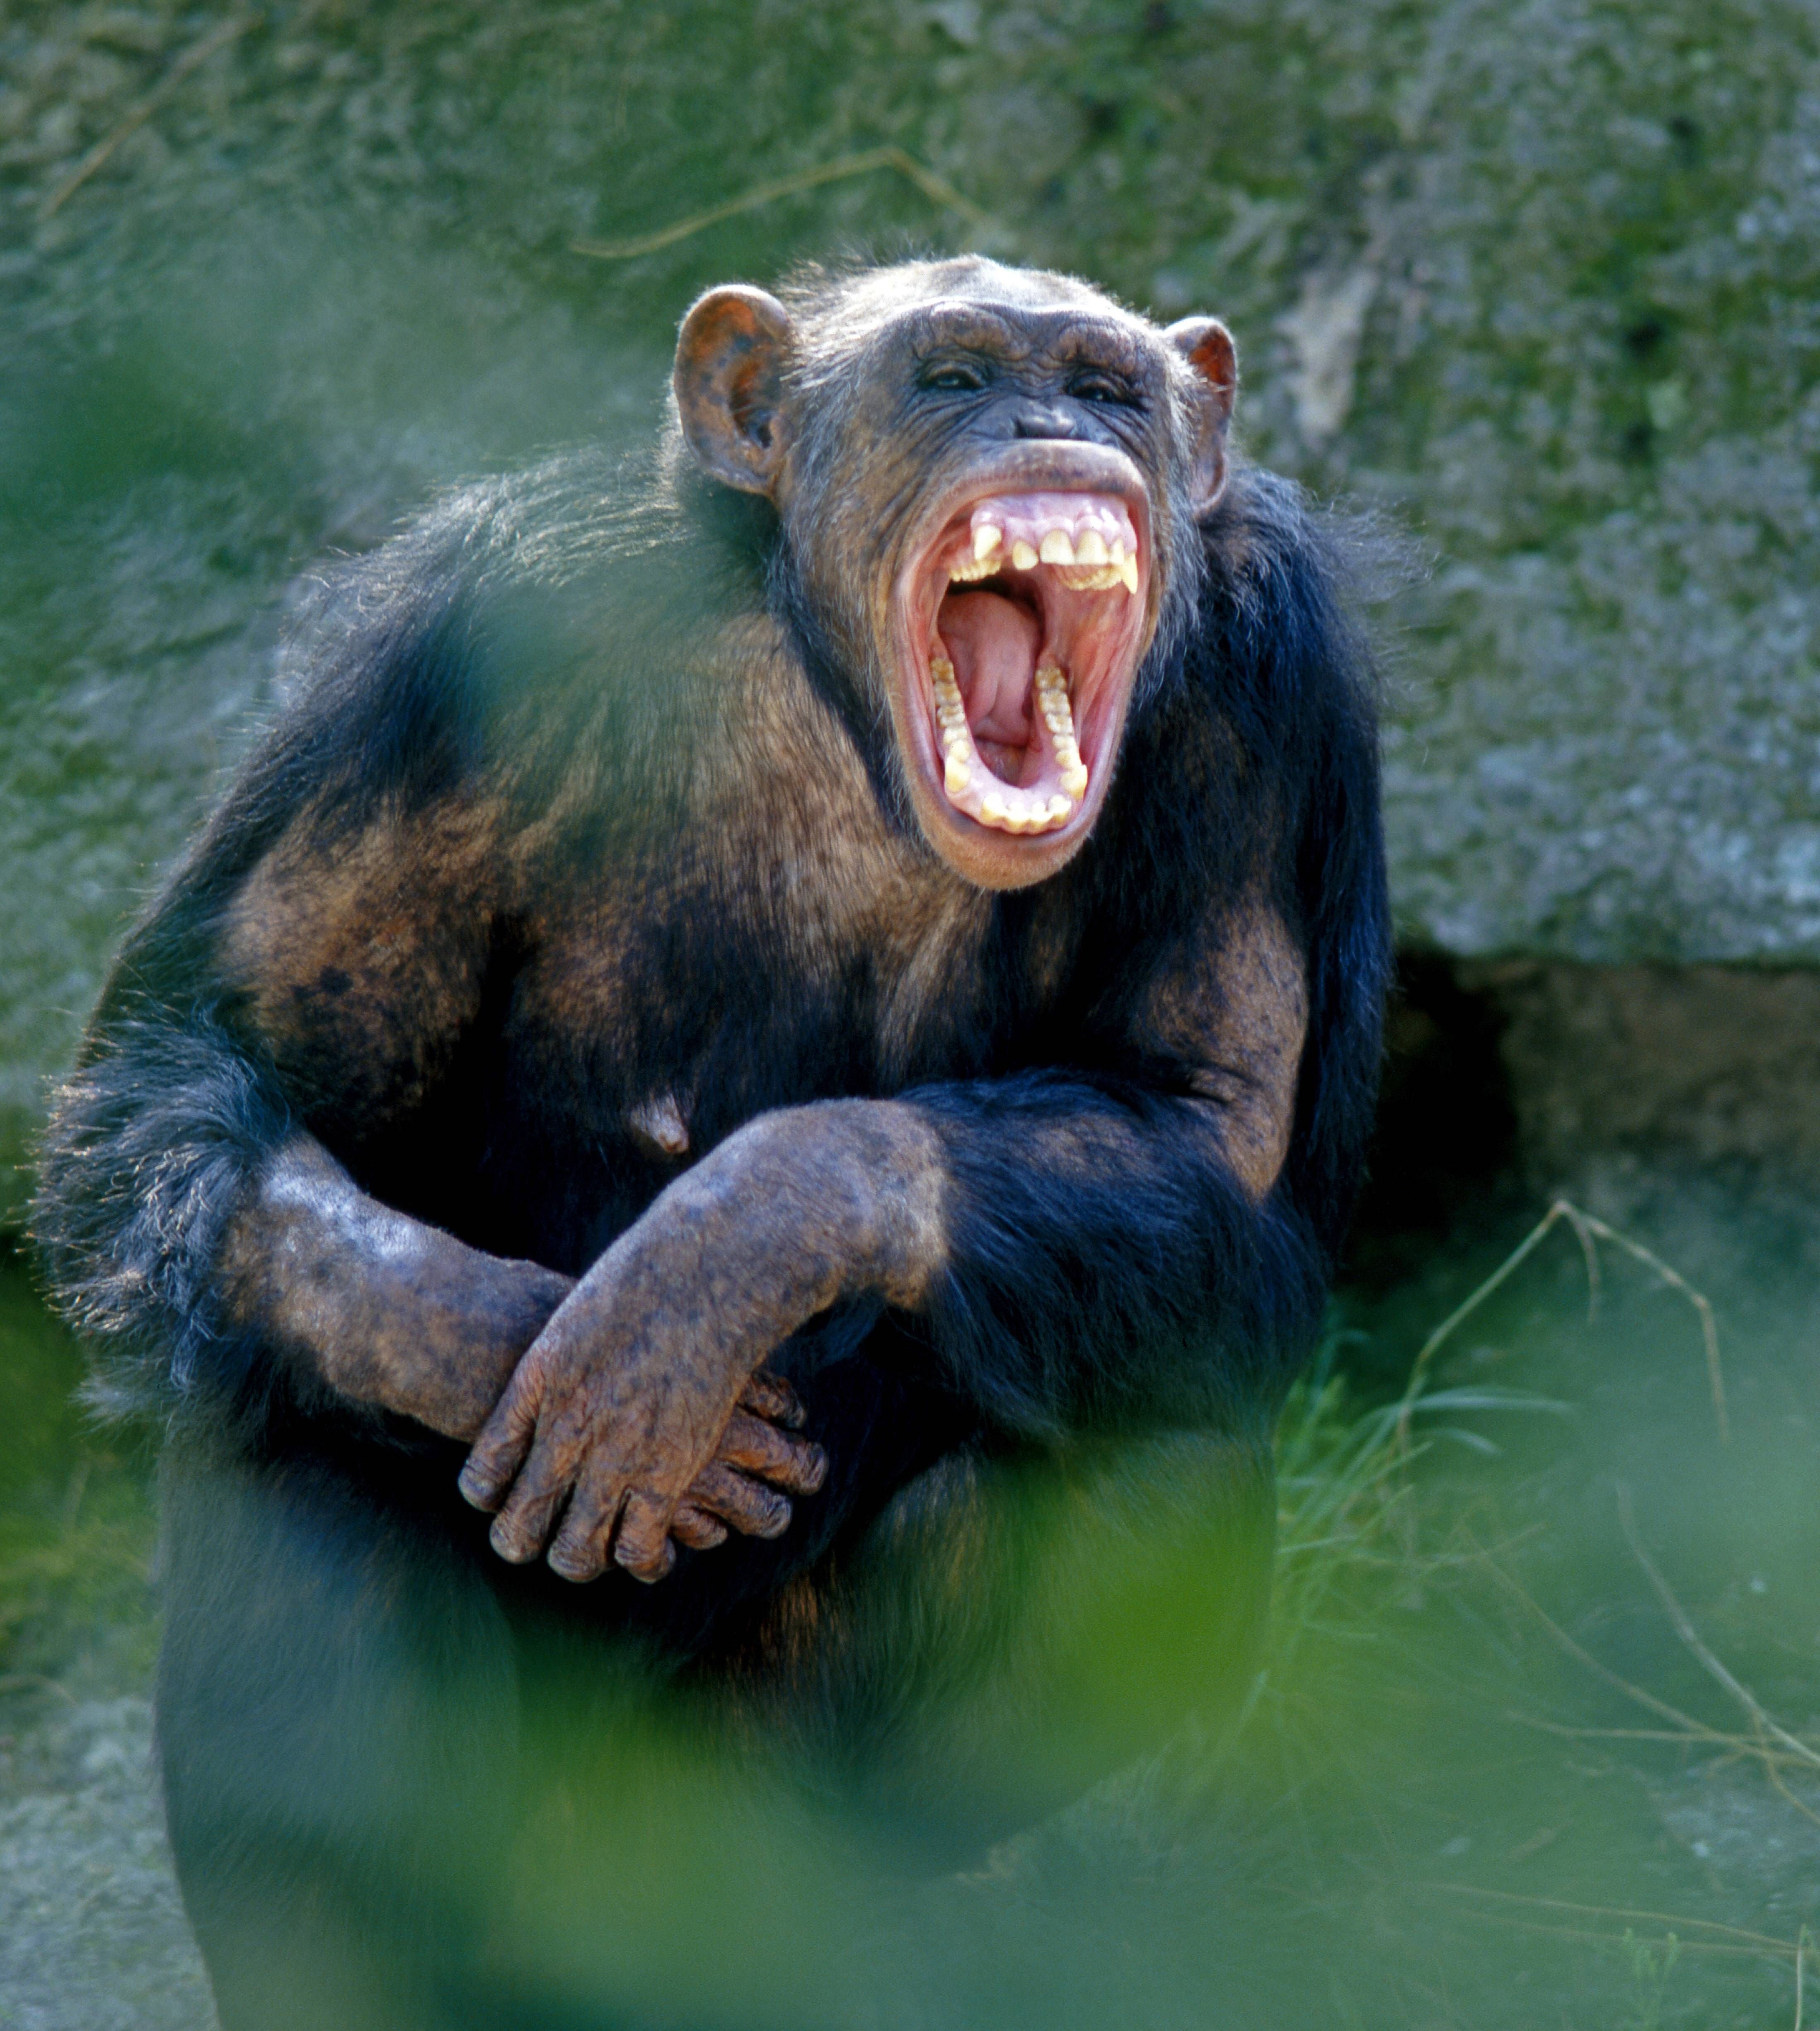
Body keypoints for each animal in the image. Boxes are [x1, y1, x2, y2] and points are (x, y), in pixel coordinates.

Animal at [33, 255, 1389, 2031]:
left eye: (1105, 388)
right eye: (954, 379)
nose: (1052, 429)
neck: (844, 720)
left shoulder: (1263, 686)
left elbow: (1202, 1120)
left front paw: (729, 1256)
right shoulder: (446, 661)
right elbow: (200, 1061)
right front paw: (472, 1333)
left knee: (1153, 1480)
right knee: (300, 1455)